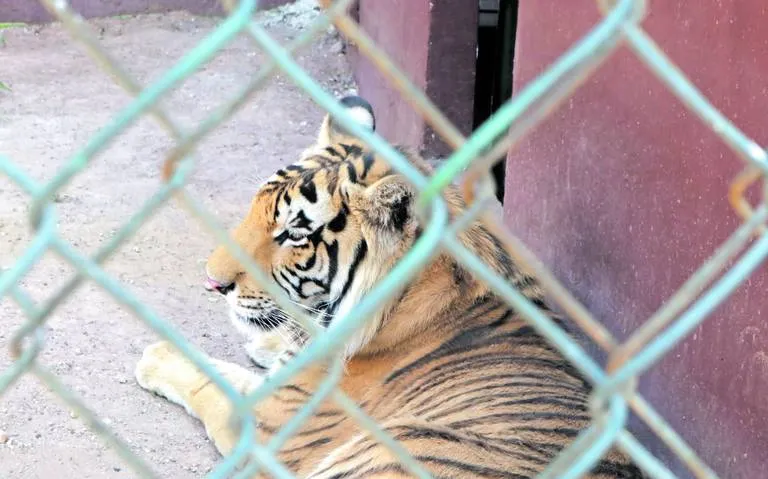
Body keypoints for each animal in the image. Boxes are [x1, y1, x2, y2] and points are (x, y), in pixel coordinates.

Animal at [134, 95, 644, 478]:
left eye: (294, 234)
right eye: (255, 208)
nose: (213, 282)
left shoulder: (271, 427)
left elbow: (217, 380)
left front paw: (158, 355)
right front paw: (268, 344)